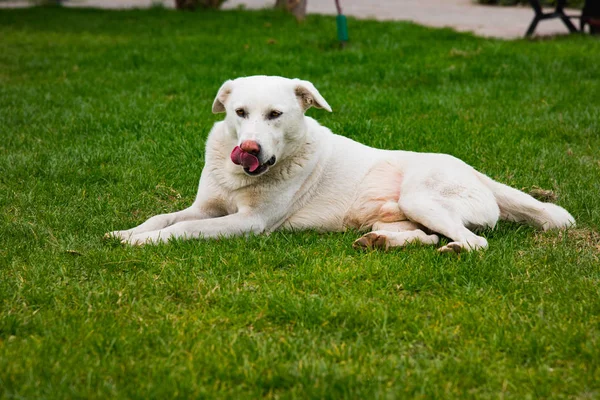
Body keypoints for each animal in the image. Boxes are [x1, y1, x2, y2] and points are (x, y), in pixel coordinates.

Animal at [108, 74, 576, 253]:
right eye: (239, 113)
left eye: (275, 115)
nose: (250, 150)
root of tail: (476, 171)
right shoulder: (205, 206)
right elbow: (163, 217)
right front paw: (126, 232)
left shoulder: (249, 223)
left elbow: (183, 229)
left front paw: (143, 242)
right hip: (402, 213)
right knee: (424, 237)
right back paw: (380, 243)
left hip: (421, 197)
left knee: (475, 242)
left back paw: (456, 249)